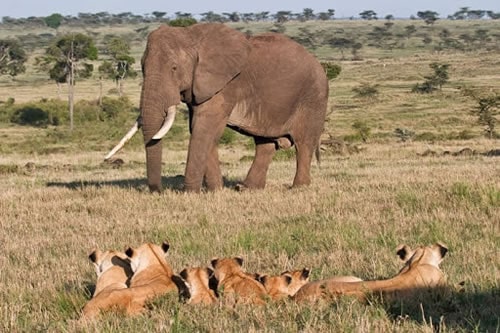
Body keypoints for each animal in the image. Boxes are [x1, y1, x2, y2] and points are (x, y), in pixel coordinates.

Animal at [105, 23, 328, 192]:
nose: (156, 191)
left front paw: (191, 193)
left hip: (313, 97)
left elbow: (204, 127)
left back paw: (298, 188)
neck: (191, 36)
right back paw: (245, 188)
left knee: (304, 143)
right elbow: (199, 128)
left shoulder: (226, 84)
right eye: (142, 68)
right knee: (264, 143)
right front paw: (215, 191)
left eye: (174, 68)